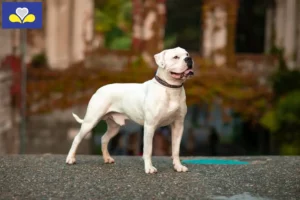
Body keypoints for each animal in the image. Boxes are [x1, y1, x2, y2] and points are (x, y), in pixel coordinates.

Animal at [66, 47, 195, 173]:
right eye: (175, 57)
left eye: (187, 54)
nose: (189, 59)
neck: (171, 88)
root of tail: (99, 90)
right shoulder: (150, 126)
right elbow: (148, 149)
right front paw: (149, 168)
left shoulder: (178, 126)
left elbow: (176, 149)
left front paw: (178, 166)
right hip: (90, 122)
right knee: (77, 138)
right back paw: (70, 159)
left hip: (114, 127)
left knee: (104, 138)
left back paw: (107, 158)